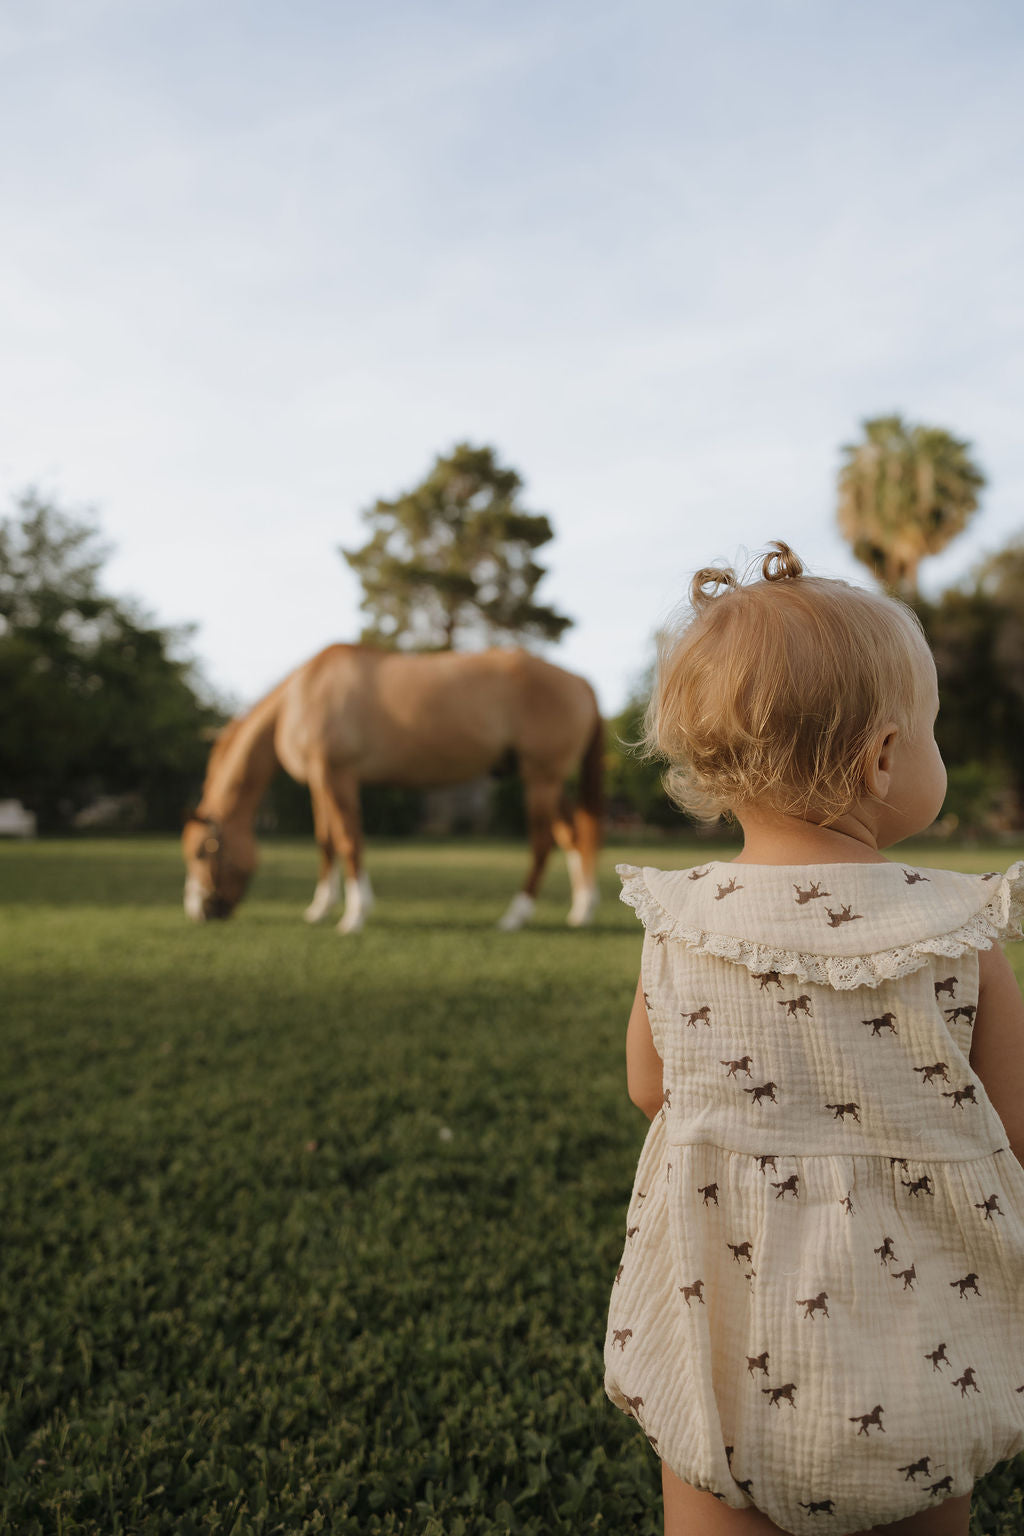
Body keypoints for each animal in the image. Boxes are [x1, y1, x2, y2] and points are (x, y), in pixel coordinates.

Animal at [182, 644, 603, 933]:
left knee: (544, 843)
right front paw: (320, 909)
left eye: (203, 851)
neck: (302, 696)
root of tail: (580, 681)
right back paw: (582, 910)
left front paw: (354, 915)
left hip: (541, 777)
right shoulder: (319, 780)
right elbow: (326, 842)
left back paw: (515, 916)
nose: (198, 911)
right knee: (573, 836)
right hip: (547, 779)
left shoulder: (337, 774)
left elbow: (349, 840)